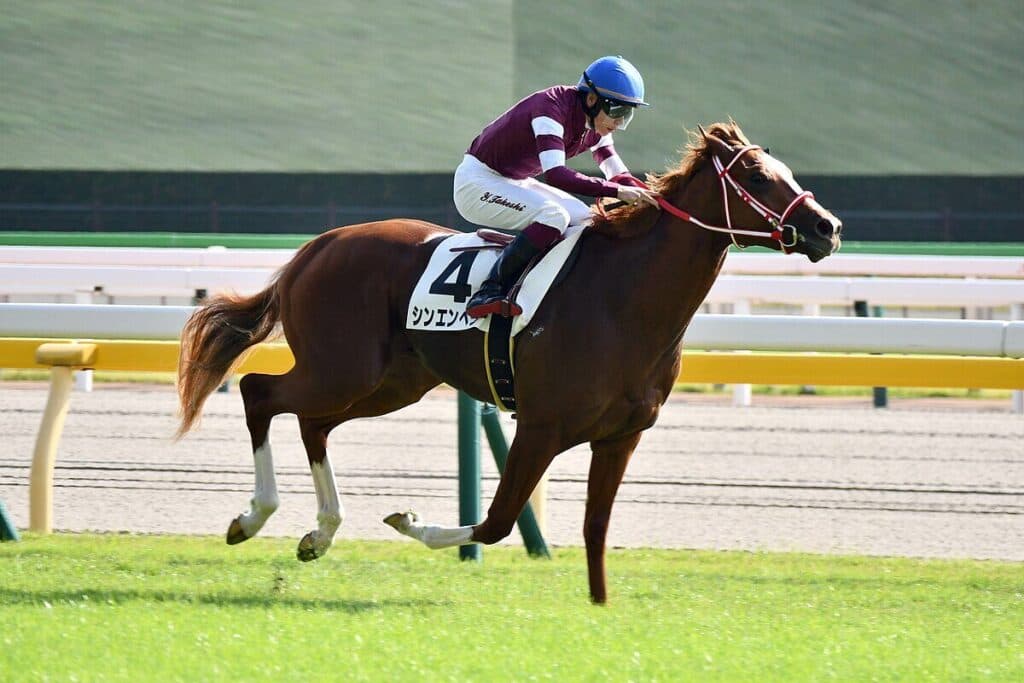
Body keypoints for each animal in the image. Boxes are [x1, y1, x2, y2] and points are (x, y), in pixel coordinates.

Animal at [176, 122, 842, 604]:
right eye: (757, 174)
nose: (826, 227)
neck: (624, 299)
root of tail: (316, 247)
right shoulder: (541, 426)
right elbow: (496, 520)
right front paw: (410, 520)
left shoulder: (620, 436)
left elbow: (596, 529)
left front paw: (600, 608)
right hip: (343, 369)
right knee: (259, 392)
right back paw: (254, 518)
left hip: (391, 383)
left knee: (311, 422)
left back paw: (321, 531)